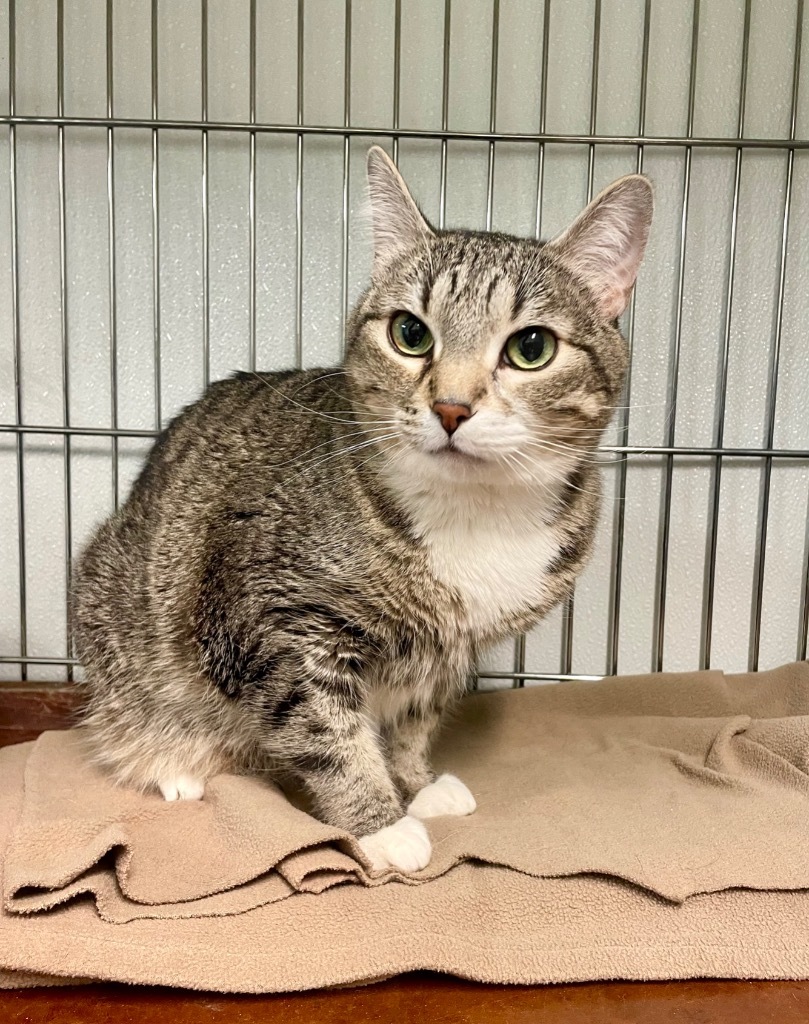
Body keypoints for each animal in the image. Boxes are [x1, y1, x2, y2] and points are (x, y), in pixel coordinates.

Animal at [72, 148, 655, 872]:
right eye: (410, 333)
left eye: (531, 348)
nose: (451, 407)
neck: (472, 513)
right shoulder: (275, 623)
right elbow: (324, 730)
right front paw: (381, 821)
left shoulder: (449, 652)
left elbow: (413, 718)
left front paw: (415, 783)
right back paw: (173, 764)